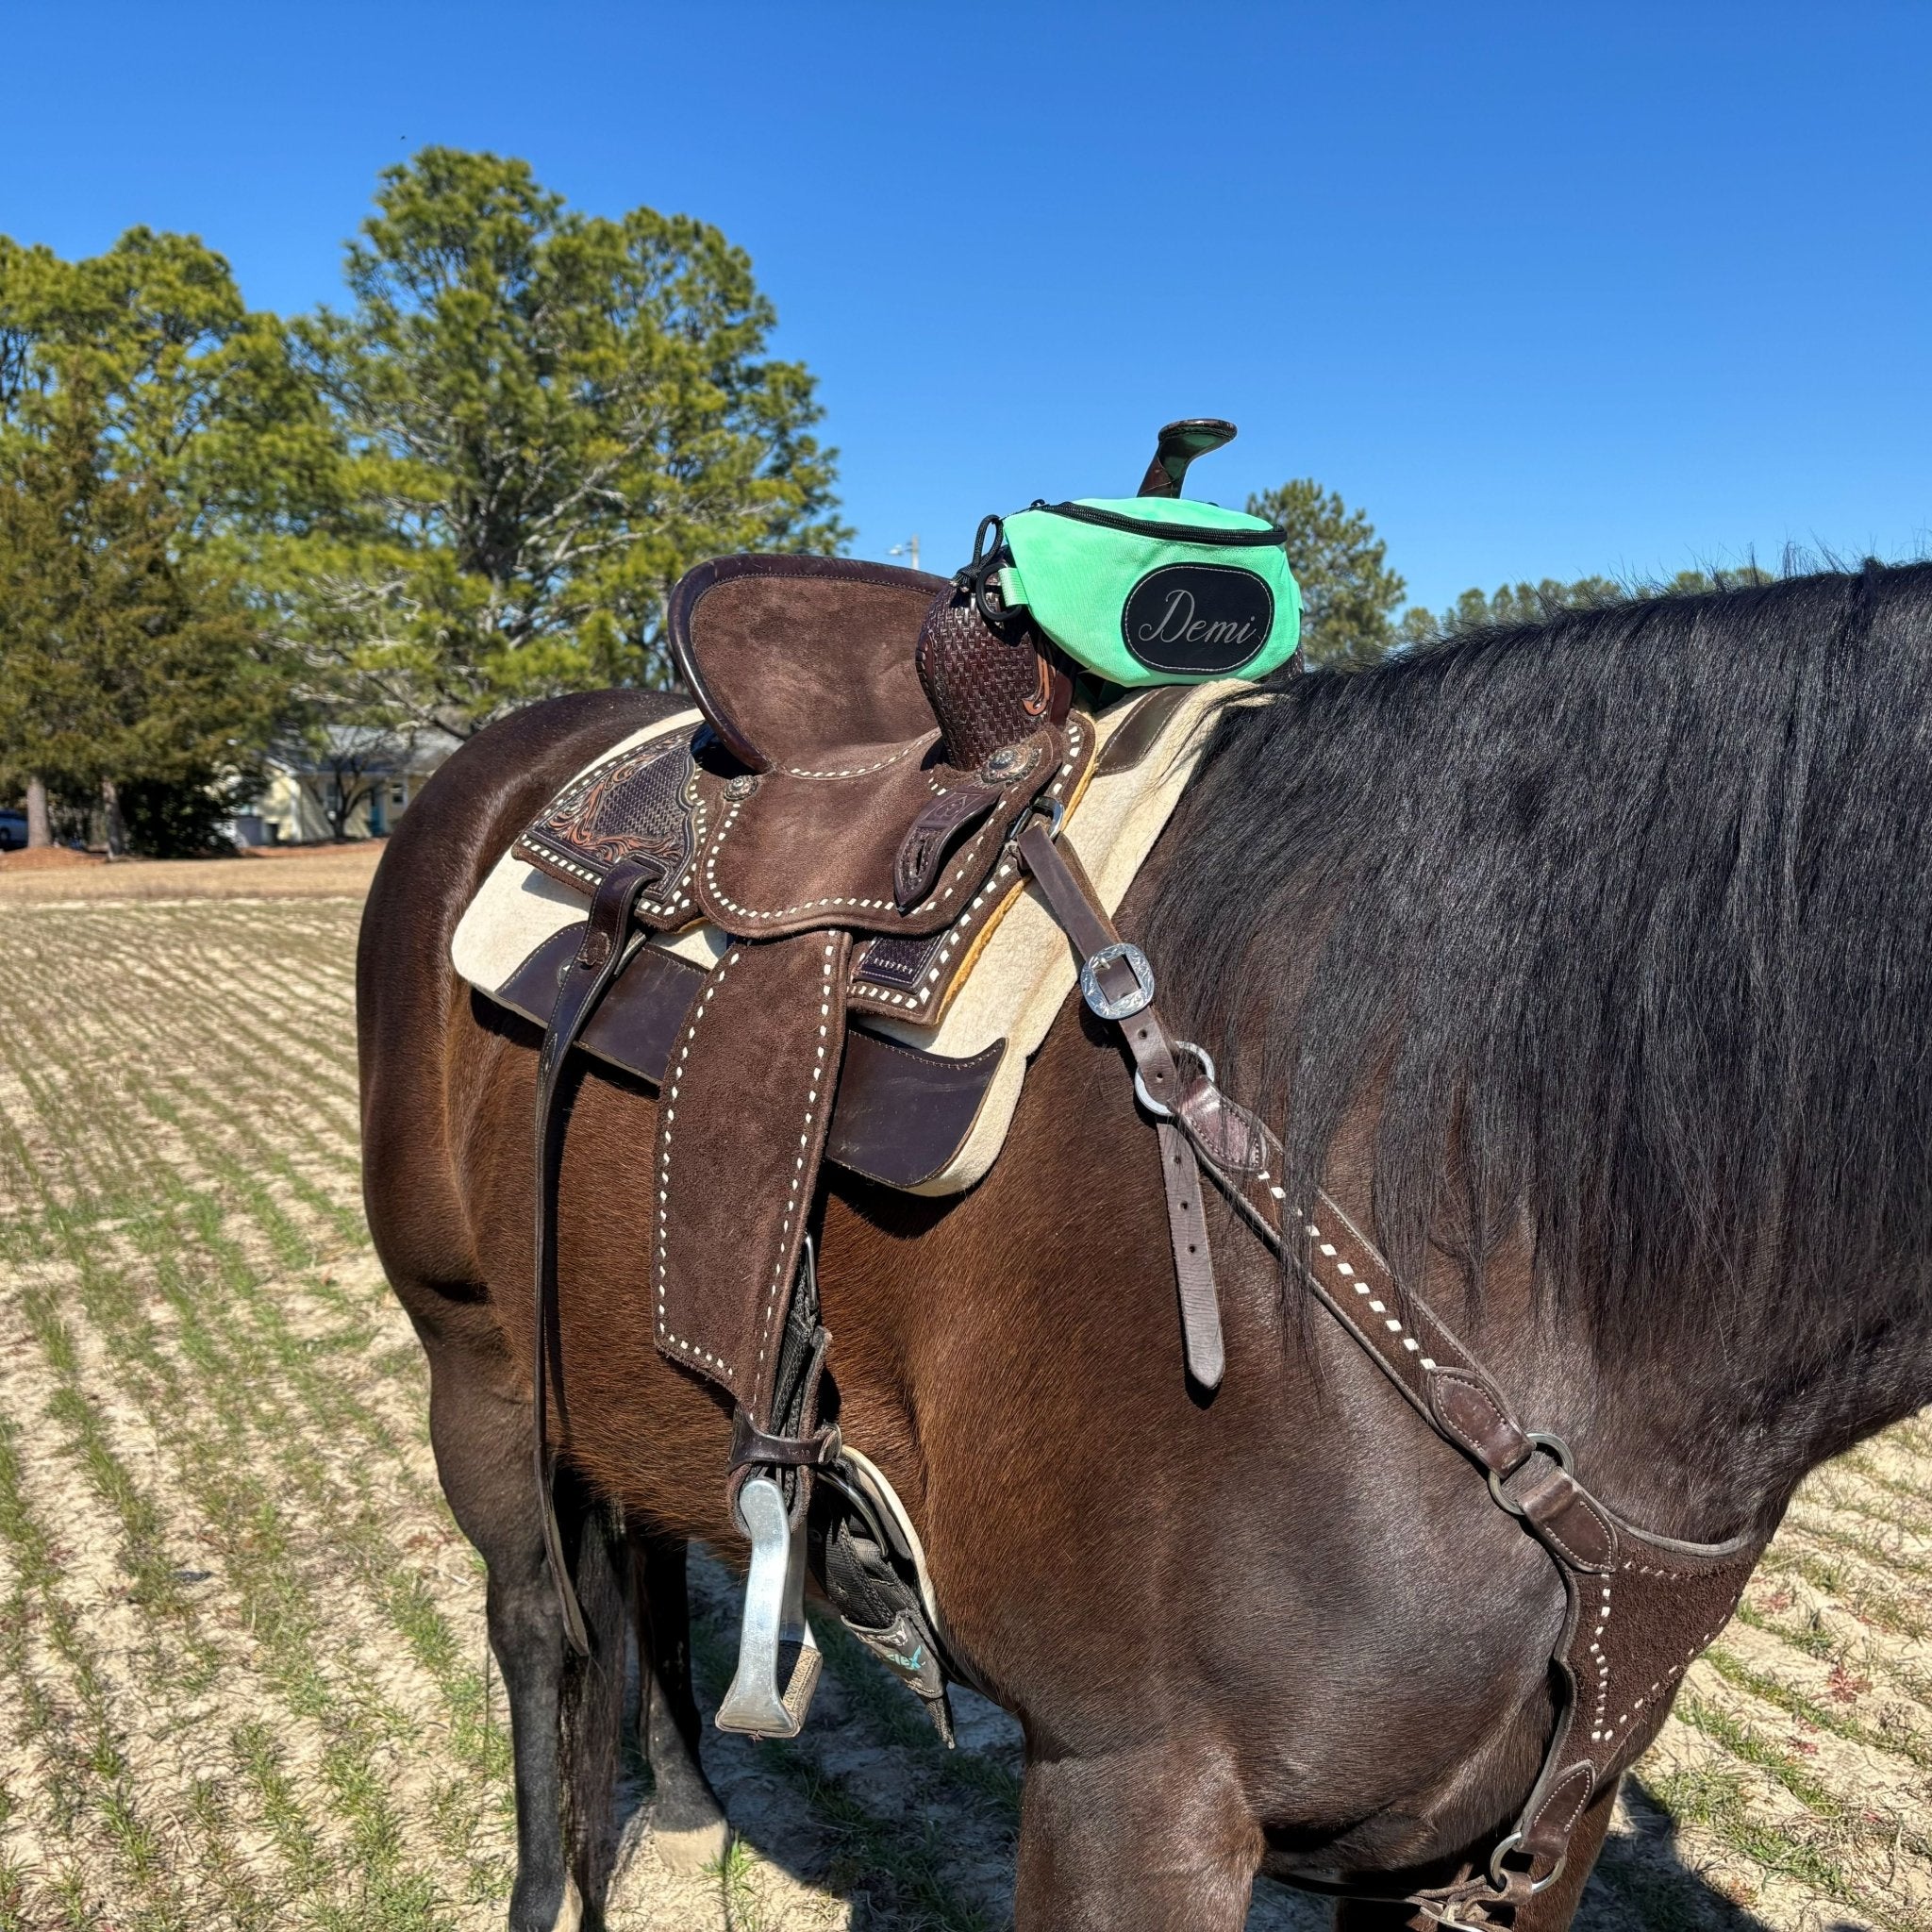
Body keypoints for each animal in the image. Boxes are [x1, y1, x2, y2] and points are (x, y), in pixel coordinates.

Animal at [358, 558, 1932, 1930]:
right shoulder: (1131, 1793)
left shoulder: (1523, 1834)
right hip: (475, 1363)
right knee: (539, 1627)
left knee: (642, 1552)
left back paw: (688, 1813)